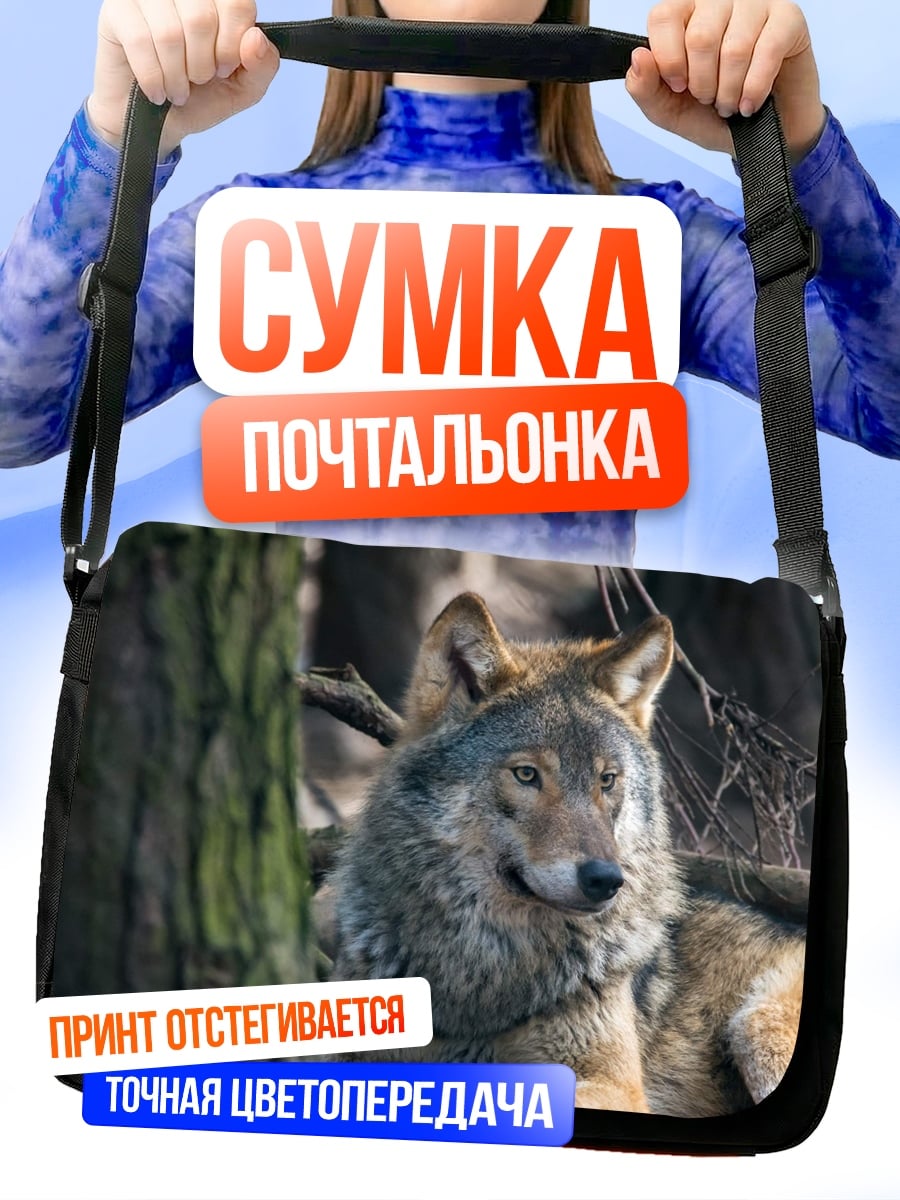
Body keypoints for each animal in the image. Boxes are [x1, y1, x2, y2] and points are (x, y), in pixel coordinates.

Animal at [328, 593, 806, 1116]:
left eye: (607, 780)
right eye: (527, 775)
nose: (605, 879)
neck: (490, 972)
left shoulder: (614, 1084)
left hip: (757, 1027)